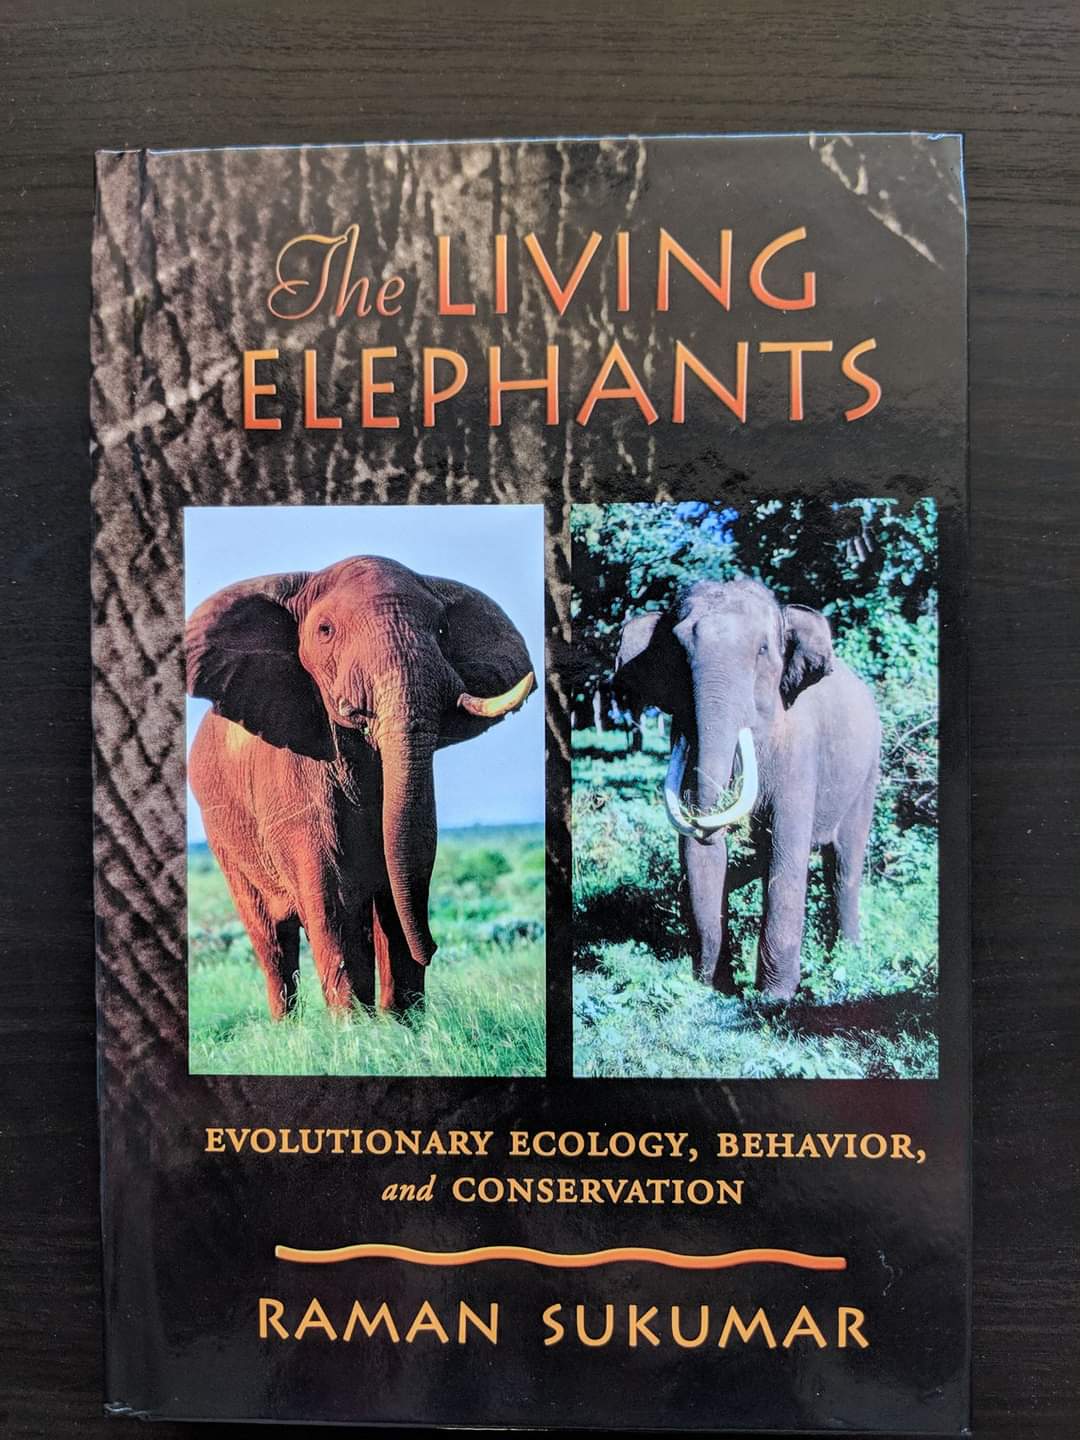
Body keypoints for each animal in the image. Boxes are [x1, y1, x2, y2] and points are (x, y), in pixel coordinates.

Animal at [186, 555, 535, 1019]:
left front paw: (402, 1026)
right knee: (272, 940)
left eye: (443, 631)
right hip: (224, 838)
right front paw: (355, 1030)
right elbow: (331, 904)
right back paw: (288, 1028)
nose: (434, 948)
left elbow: (404, 879)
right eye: (325, 631)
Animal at [614, 577, 880, 1000]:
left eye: (762, 650)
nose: (706, 983)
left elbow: (786, 853)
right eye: (678, 652)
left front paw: (773, 998)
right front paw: (714, 987)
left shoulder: (800, 747)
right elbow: (700, 850)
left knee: (844, 866)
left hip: (868, 771)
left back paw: (846, 961)